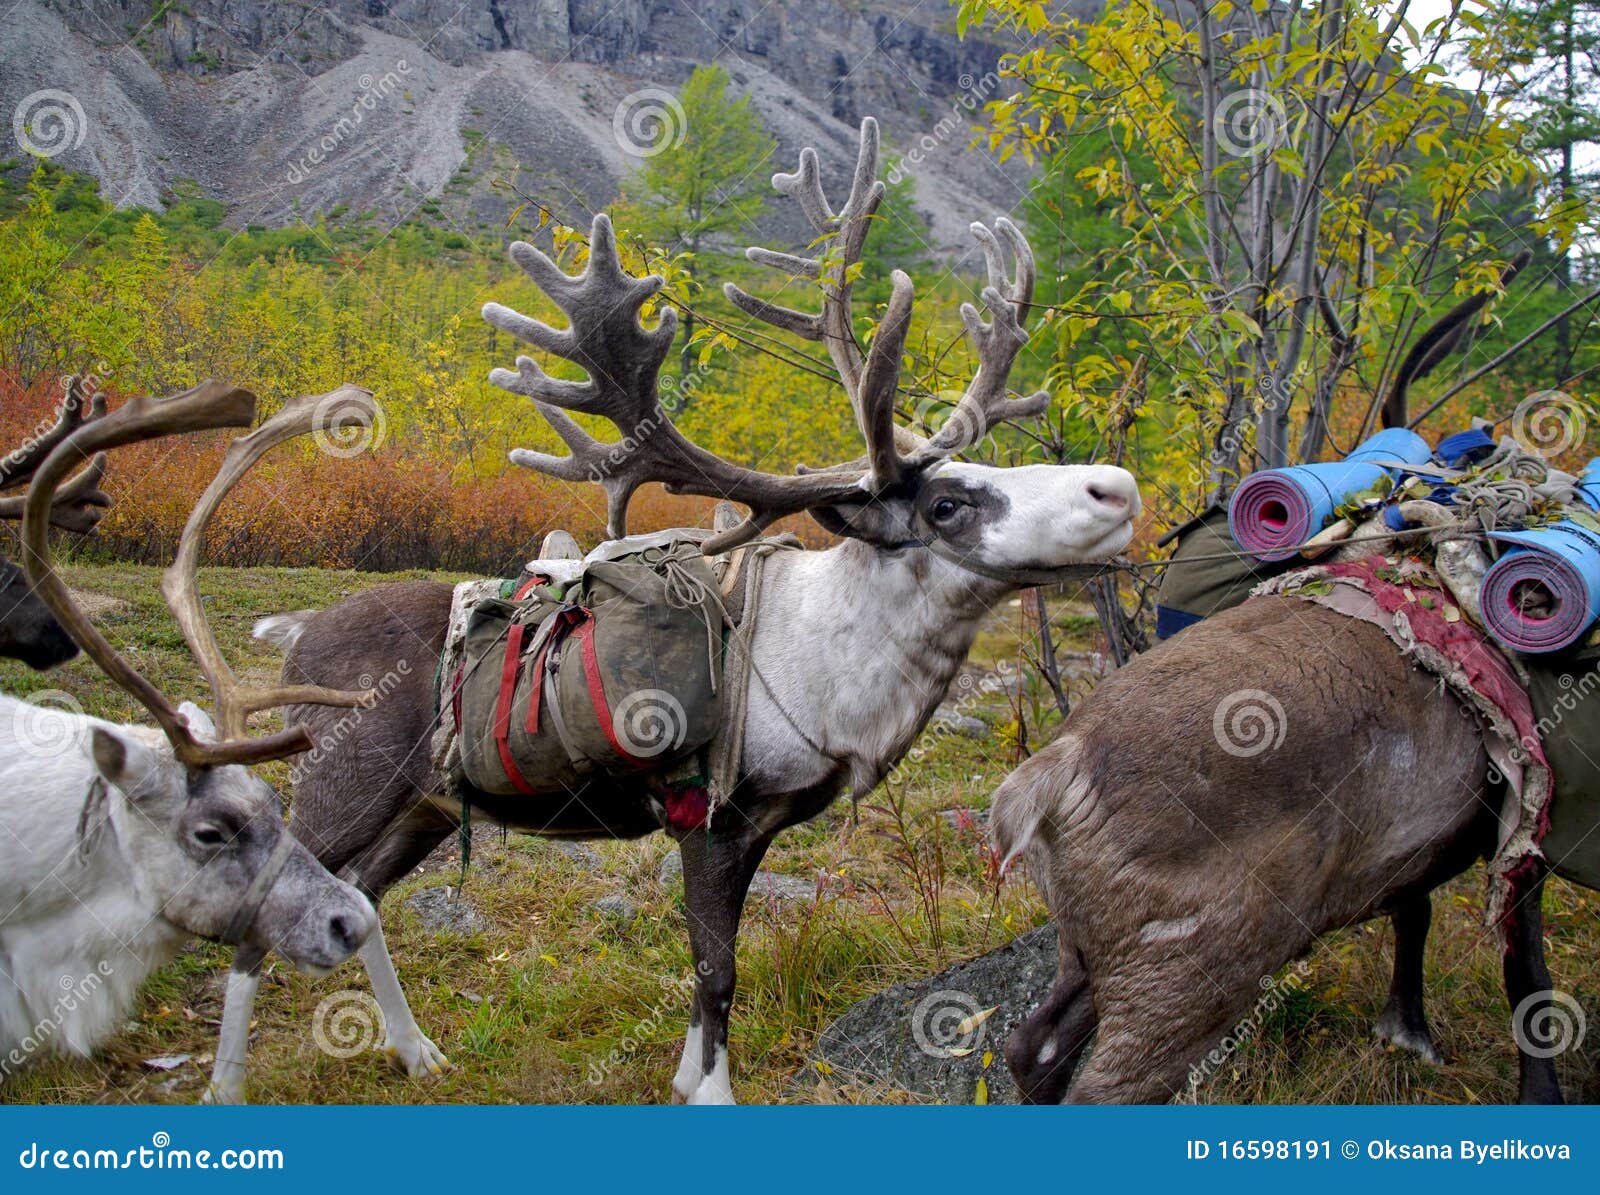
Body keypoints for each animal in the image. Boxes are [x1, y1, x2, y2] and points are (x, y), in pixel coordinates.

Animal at [237, 117, 1142, 1104]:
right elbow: (718, 973)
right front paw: (710, 1089)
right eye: (945, 504)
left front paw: (685, 1074)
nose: (1117, 485)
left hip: (425, 807)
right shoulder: (713, 819)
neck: (832, 673)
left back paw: (415, 1050)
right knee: (259, 918)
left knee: (357, 898)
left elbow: (716, 974)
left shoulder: (761, 827)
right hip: (343, 781)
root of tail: (294, 635)